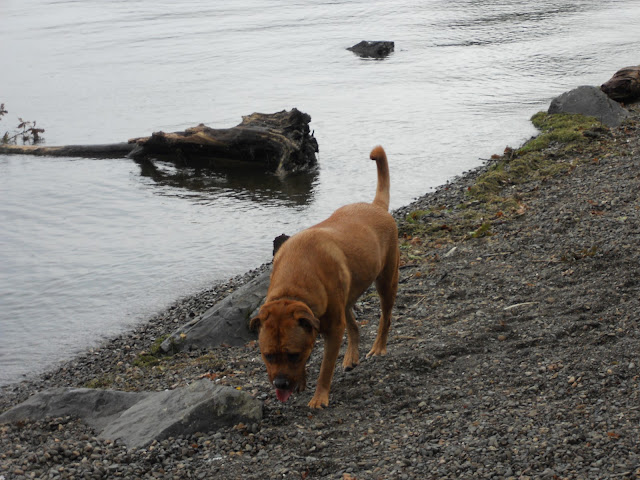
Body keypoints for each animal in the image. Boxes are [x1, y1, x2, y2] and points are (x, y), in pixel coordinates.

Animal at [251, 146, 398, 408]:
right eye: (268, 355)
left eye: (293, 355)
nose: (280, 385)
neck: (294, 286)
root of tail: (376, 206)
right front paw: (301, 382)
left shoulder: (333, 329)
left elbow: (325, 368)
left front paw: (319, 397)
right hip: (347, 296)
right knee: (354, 325)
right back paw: (351, 356)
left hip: (386, 280)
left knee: (385, 317)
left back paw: (378, 347)